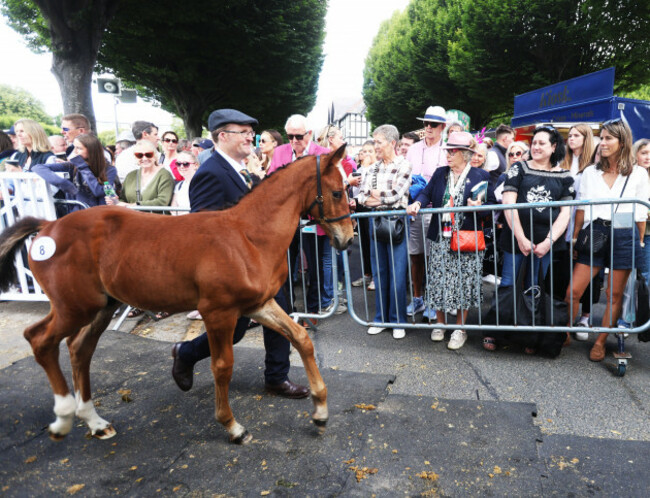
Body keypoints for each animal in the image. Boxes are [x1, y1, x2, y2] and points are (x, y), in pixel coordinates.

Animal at [0, 144, 354, 444]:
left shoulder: (258, 305)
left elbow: (300, 338)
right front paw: (232, 426)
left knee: (78, 349)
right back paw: (63, 418)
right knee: (40, 340)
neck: (248, 237)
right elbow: (222, 365)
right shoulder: (218, 312)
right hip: (73, 307)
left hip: (101, 306)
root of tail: (47, 227)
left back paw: (96, 422)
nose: (348, 240)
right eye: (337, 191)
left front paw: (320, 412)